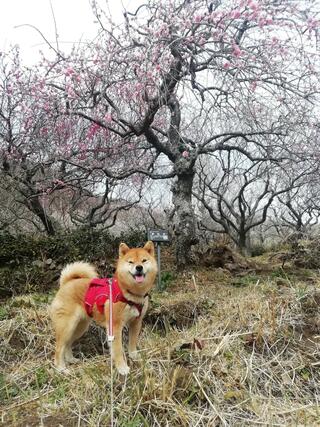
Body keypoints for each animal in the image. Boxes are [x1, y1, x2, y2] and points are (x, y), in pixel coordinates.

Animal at [49, 242, 158, 376]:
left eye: (144, 260)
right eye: (131, 262)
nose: (139, 267)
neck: (128, 293)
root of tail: (67, 283)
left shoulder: (136, 323)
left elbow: (132, 344)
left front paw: (135, 357)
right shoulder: (115, 326)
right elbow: (117, 349)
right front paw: (122, 368)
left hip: (79, 327)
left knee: (67, 344)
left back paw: (71, 359)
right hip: (67, 327)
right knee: (59, 348)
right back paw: (61, 368)